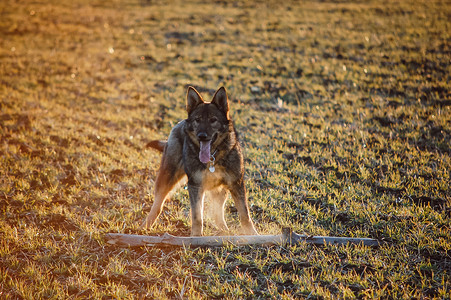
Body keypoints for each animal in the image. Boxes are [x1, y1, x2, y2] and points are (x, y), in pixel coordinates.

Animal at [143, 85, 260, 236]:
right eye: (197, 120)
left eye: (213, 120)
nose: (202, 136)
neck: (213, 157)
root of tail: (180, 123)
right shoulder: (195, 186)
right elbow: (197, 216)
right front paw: (196, 237)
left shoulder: (236, 184)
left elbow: (245, 215)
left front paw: (253, 235)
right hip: (167, 177)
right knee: (158, 204)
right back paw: (145, 225)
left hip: (221, 191)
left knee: (218, 214)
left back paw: (225, 231)